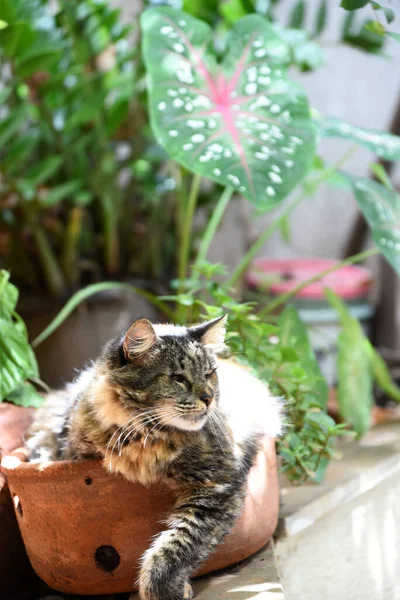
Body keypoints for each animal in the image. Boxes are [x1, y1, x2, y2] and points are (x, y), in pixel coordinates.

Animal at [25, 314, 282, 600]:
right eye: (178, 378)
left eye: (209, 374)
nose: (209, 398)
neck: (146, 435)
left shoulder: (219, 485)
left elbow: (180, 543)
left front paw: (163, 589)